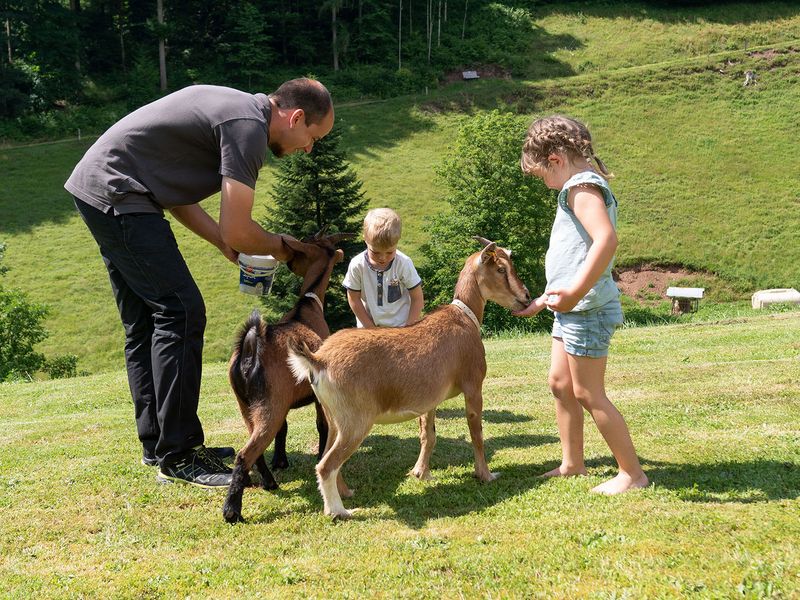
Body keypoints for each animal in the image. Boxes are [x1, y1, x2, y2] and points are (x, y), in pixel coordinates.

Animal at [223, 232, 352, 524]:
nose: (289, 262)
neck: (307, 305)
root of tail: (251, 347)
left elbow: (284, 429)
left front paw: (281, 460)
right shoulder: (316, 394)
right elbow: (322, 426)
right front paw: (320, 454)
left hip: (248, 405)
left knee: (256, 447)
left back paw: (270, 482)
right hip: (269, 404)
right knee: (245, 453)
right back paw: (232, 511)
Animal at [288, 237, 532, 516]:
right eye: (501, 269)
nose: (526, 297)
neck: (464, 318)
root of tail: (320, 360)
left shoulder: (431, 400)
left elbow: (429, 434)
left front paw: (421, 473)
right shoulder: (473, 386)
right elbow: (476, 432)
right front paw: (486, 475)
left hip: (334, 418)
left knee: (326, 455)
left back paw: (347, 493)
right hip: (355, 421)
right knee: (326, 464)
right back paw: (339, 512)